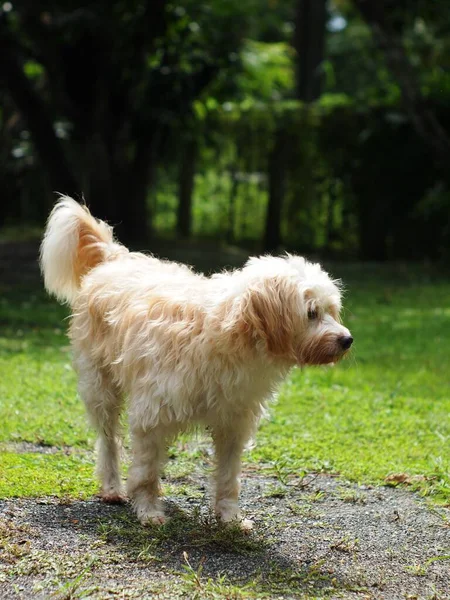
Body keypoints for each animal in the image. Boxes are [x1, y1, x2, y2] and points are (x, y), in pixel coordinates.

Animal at [40, 198, 354, 528]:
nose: (347, 340)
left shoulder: (233, 422)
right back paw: (112, 487)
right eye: (311, 313)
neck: (229, 333)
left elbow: (228, 476)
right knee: (108, 441)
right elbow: (146, 471)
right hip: (100, 388)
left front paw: (229, 517)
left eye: (331, 310)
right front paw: (148, 510)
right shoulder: (152, 415)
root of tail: (114, 258)